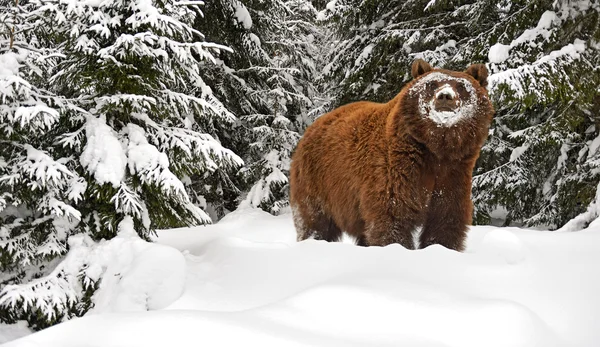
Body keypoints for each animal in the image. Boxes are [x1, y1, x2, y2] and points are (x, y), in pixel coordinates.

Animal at [290, 59, 492, 250]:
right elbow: (392, 214)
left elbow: (445, 219)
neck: (436, 149)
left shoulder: (454, 173)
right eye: (432, 84)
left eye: (461, 86)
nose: (445, 96)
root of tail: (311, 127)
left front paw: (440, 247)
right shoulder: (397, 168)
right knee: (315, 220)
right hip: (318, 180)